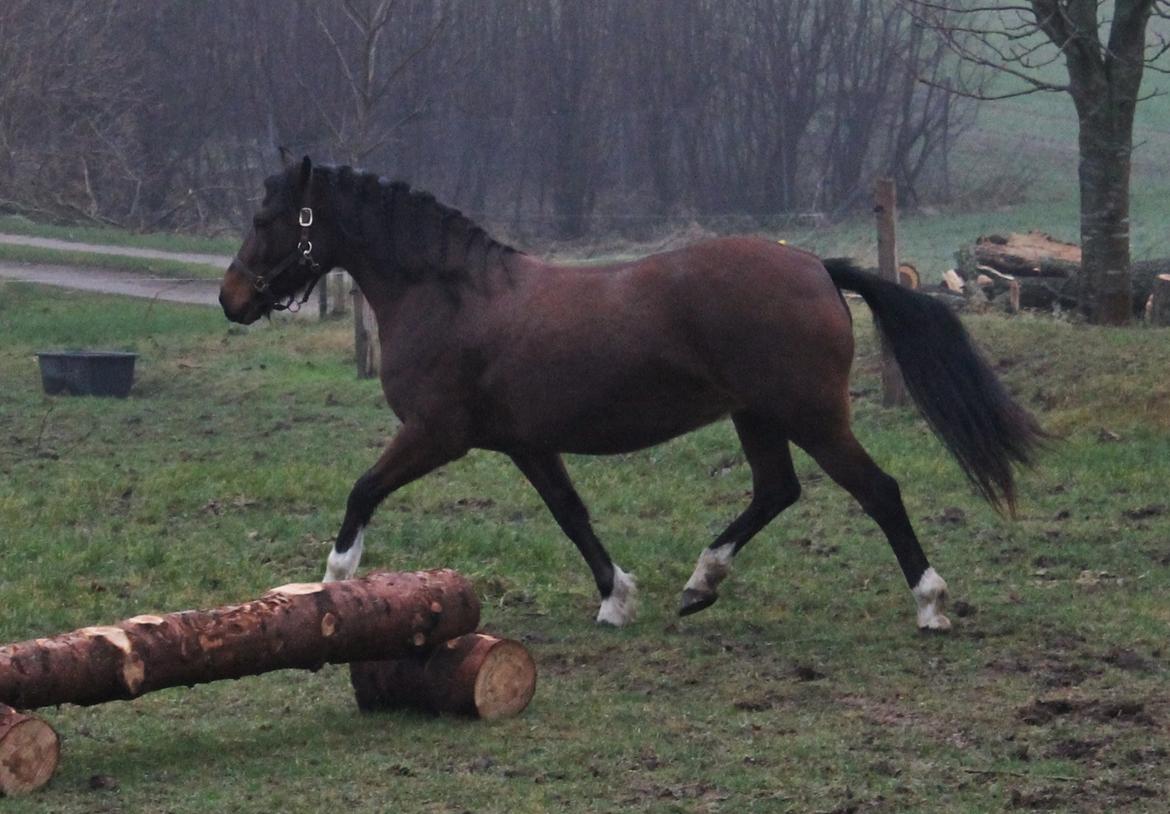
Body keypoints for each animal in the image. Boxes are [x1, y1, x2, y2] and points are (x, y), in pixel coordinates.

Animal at [219, 155, 1044, 630]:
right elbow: (571, 514)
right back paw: (700, 583)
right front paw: (616, 597)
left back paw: (930, 603)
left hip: (810, 415)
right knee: (776, 491)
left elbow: (363, 490)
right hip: (757, 416)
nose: (231, 298)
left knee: (878, 490)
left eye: (265, 217)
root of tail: (816, 266)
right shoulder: (526, 443)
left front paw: (334, 585)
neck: (450, 295)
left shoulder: (435, 433)